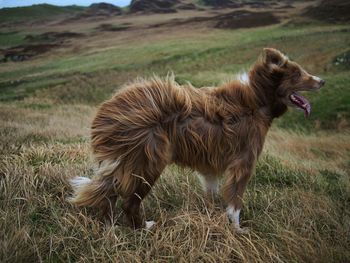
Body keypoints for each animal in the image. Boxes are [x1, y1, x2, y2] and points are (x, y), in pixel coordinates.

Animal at [68, 48, 326, 232]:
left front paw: (212, 217)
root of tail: (110, 110)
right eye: (298, 74)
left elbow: (213, 194)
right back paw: (143, 228)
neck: (258, 98)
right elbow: (235, 202)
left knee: (109, 195)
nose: (322, 81)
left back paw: (110, 229)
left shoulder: (211, 167)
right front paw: (238, 230)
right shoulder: (244, 162)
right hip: (148, 163)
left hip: (124, 163)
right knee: (128, 203)